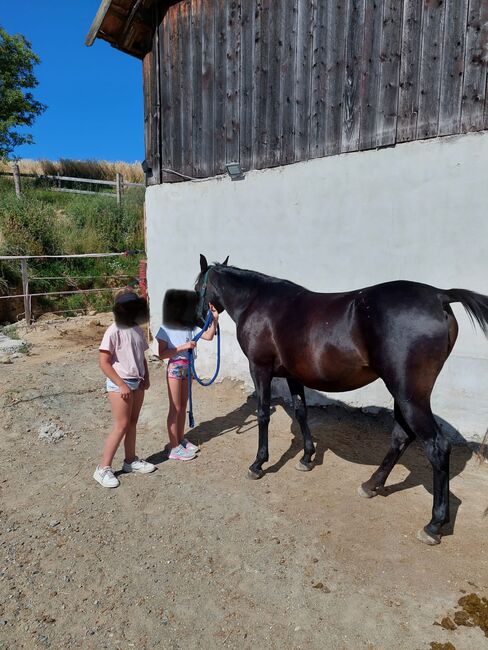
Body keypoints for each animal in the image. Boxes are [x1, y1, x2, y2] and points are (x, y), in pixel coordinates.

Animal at [194, 253, 488, 540]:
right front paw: (306, 458)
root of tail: (439, 295)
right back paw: (371, 485)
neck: (257, 301)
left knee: (436, 447)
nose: (198, 320)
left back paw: (433, 525)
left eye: (197, 287)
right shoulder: (292, 375)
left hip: (409, 396)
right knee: (401, 437)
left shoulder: (260, 369)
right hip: (403, 395)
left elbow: (264, 414)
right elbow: (301, 411)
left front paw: (258, 464)